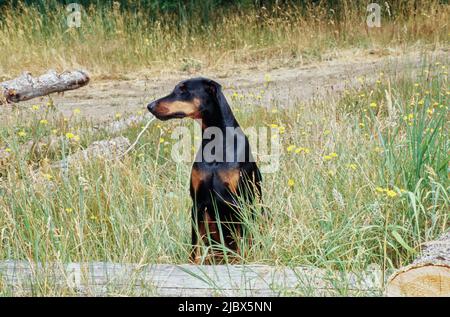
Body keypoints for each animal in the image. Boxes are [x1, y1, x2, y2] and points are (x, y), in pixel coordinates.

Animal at [146, 78, 262, 262]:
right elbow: (195, 247)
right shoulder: (198, 203)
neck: (217, 142)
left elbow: (243, 241)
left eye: (183, 90)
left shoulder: (241, 203)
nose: (150, 106)